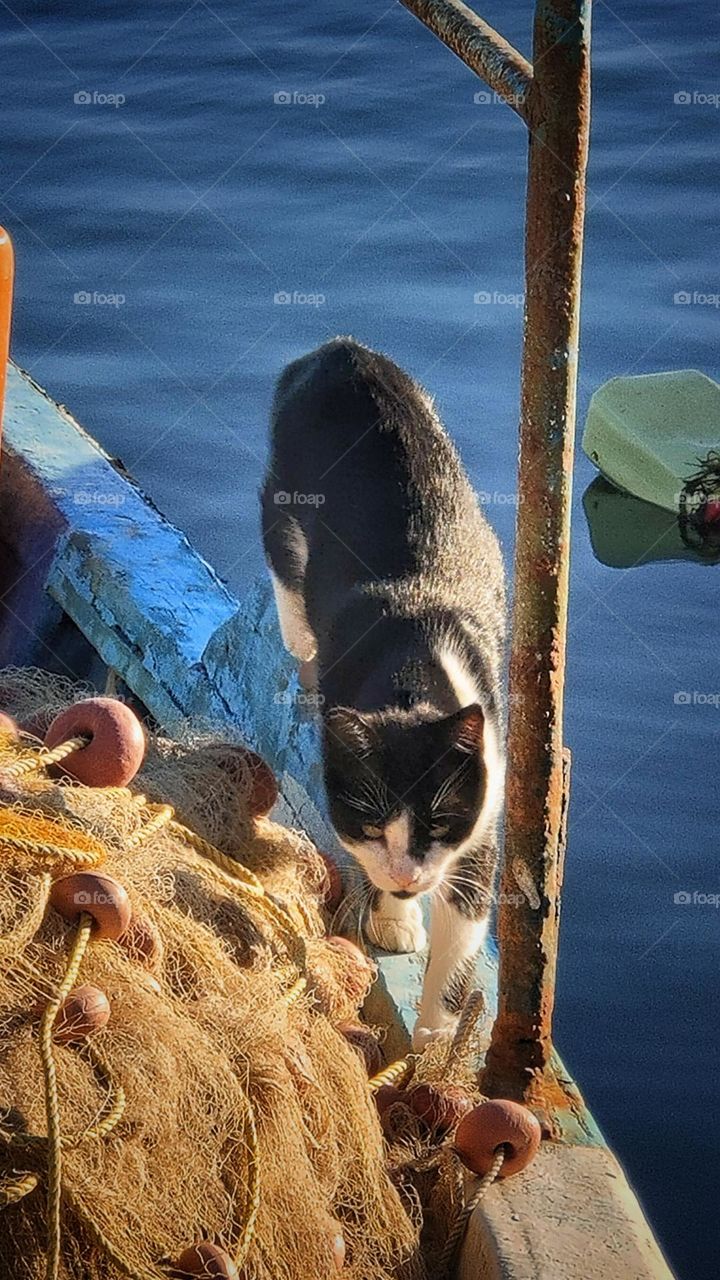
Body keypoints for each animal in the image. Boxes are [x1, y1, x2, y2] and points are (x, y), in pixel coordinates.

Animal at [258, 340, 504, 1049]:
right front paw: (396, 917)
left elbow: (461, 941)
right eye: (370, 823)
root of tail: (341, 350)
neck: (410, 673)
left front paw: (433, 1052)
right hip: (284, 507)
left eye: (439, 823)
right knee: (290, 586)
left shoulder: (485, 808)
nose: (407, 877)